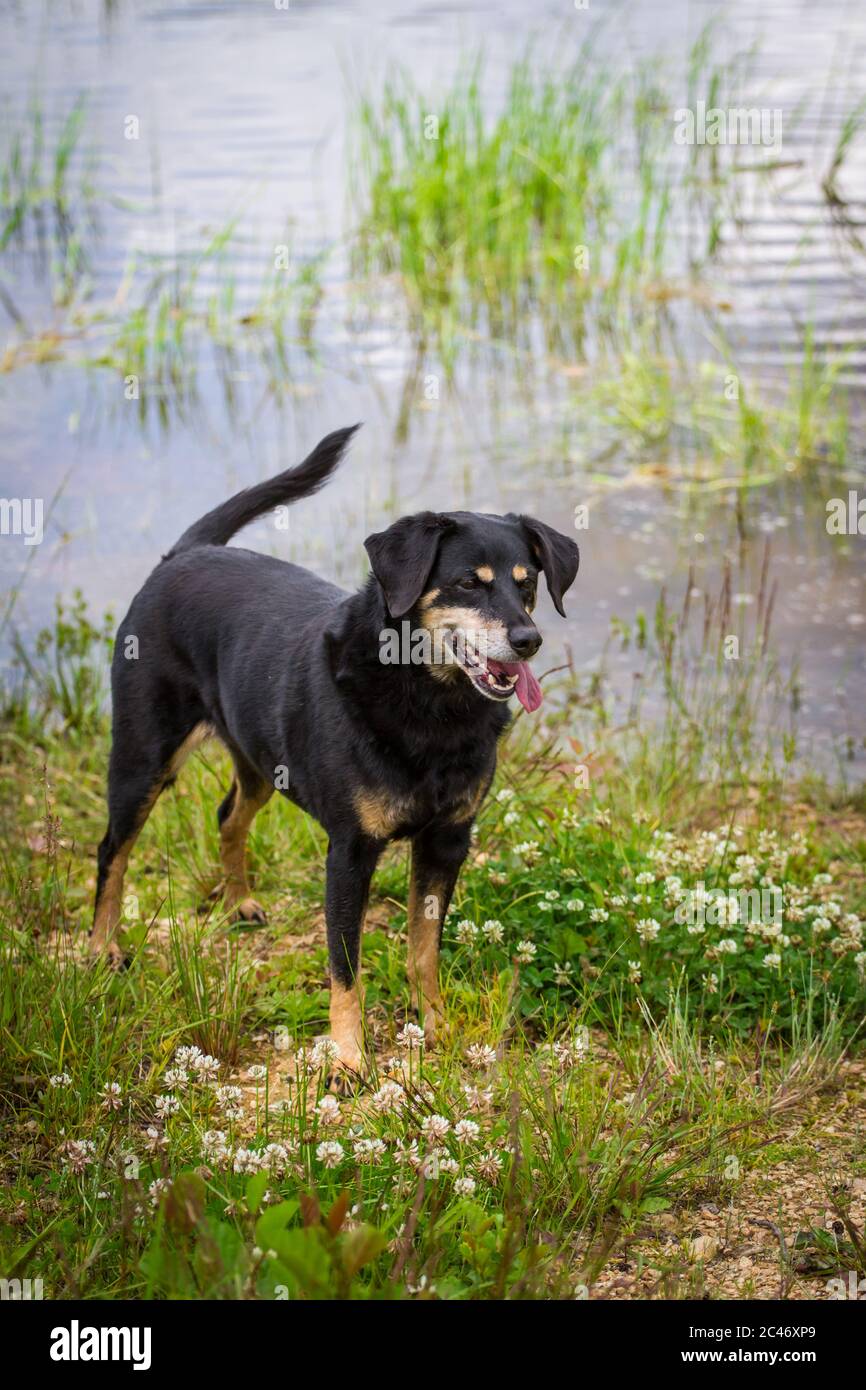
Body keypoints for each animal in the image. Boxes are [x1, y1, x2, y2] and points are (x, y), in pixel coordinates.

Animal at [91, 428, 578, 1078]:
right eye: (468, 583)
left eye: (527, 583)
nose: (529, 639)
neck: (428, 702)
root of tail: (184, 554)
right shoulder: (350, 851)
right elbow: (345, 966)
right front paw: (348, 1057)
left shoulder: (448, 839)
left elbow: (424, 949)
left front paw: (435, 1024)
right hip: (145, 754)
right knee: (112, 851)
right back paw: (102, 947)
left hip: (260, 761)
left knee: (228, 816)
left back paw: (240, 903)